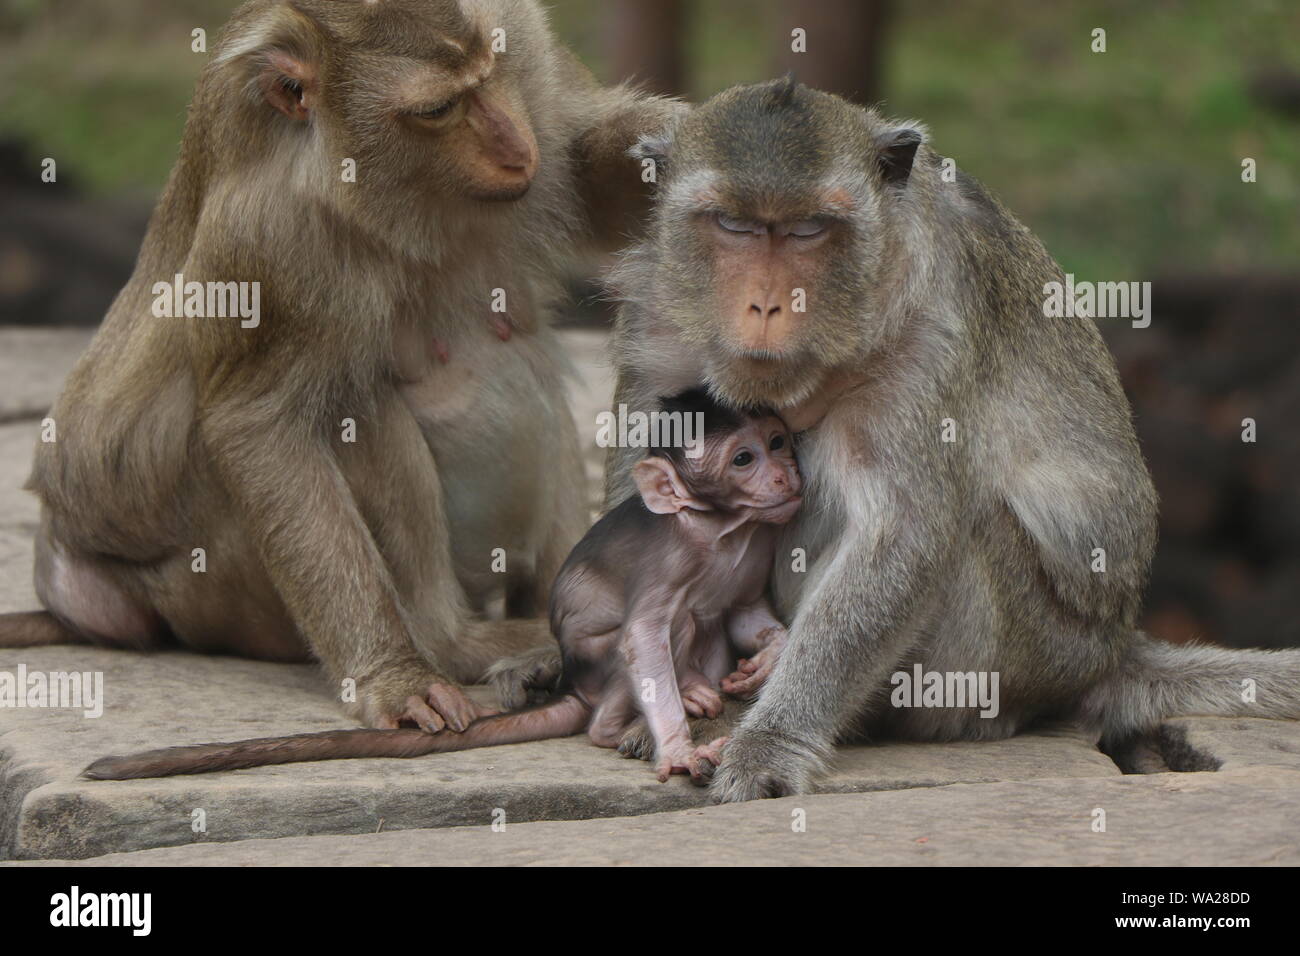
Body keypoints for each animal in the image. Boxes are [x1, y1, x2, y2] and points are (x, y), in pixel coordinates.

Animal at [86, 390, 795, 785]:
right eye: (743, 458)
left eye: (779, 441)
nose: (788, 476)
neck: (721, 531)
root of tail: (576, 684)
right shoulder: (670, 560)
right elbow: (644, 634)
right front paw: (676, 749)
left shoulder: (753, 547)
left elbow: (742, 609)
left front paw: (768, 658)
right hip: (599, 671)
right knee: (654, 640)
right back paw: (624, 719)